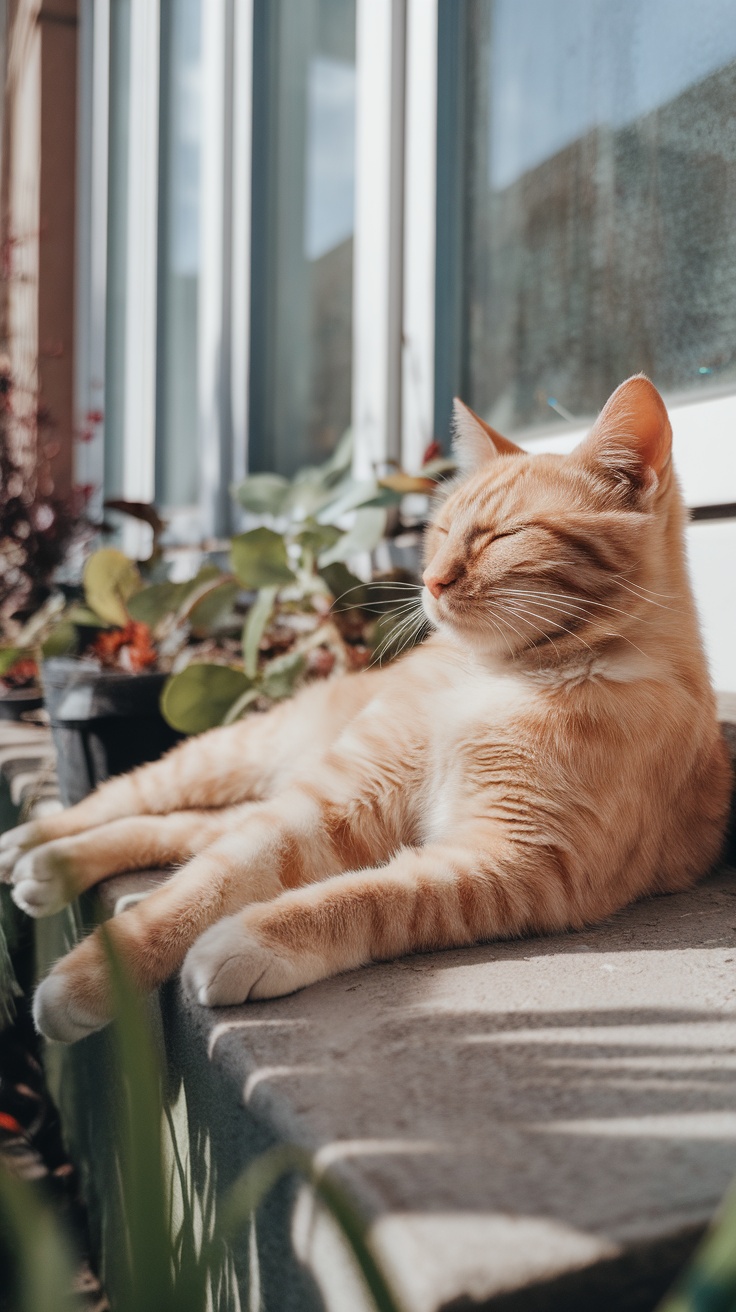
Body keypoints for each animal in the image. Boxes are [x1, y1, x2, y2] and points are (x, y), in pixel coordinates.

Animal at [0, 375, 729, 1039]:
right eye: (441, 530)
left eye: (504, 537)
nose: (431, 580)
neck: (500, 678)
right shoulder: (342, 803)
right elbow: (198, 889)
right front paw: (91, 979)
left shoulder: (517, 861)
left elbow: (373, 895)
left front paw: (250, 940)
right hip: (243, 757)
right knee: (132, 801)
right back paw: (37, 844)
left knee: (190, 830)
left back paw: (49, 867)